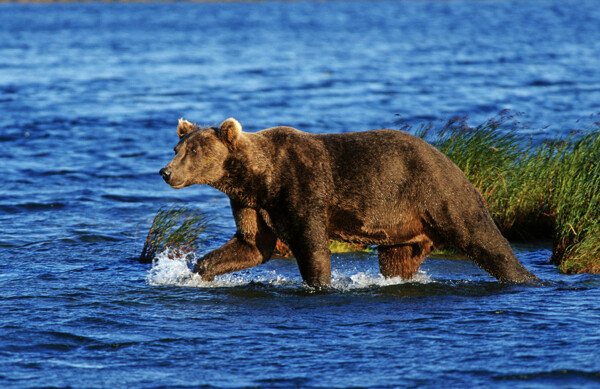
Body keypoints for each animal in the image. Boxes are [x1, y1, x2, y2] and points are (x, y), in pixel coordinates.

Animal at [159, 116, 540, 286]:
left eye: (194, 151)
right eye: (177, 148)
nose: (165, 171)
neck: (258, 176)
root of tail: (451, 160)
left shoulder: (302, 185)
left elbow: (310, 242)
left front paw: (319, 283)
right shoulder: (252, 202)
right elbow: (253, 244)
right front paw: (199, 270)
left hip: (438, 193)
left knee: (483, 237)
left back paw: (526, 278)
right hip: (401, 226)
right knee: (398, 260)